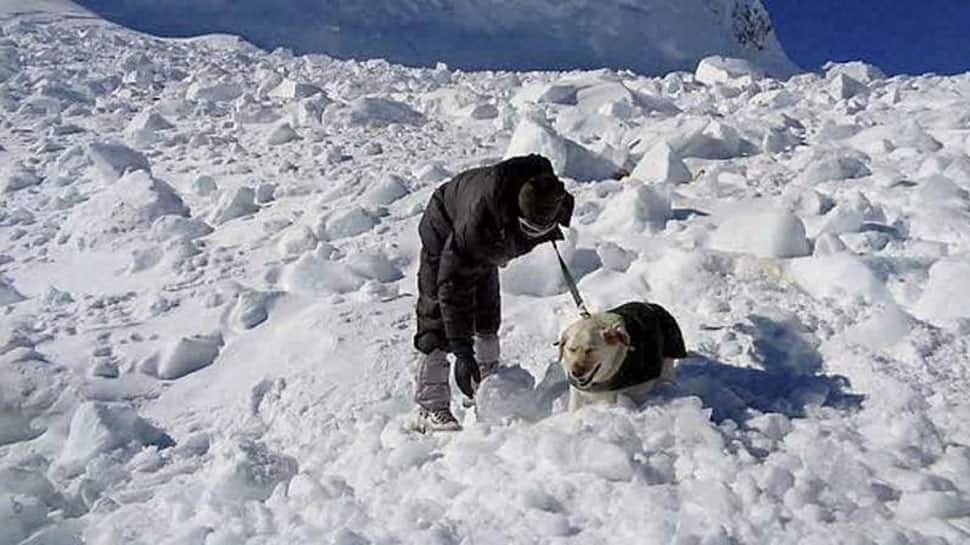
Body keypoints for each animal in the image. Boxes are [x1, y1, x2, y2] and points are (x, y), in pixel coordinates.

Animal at [556, 300, 684, 410]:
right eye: (572, 349)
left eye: (591, 349)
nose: (576, 373)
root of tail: (653, 305)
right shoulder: (576, 393)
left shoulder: (612, 396)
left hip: (667, 366)